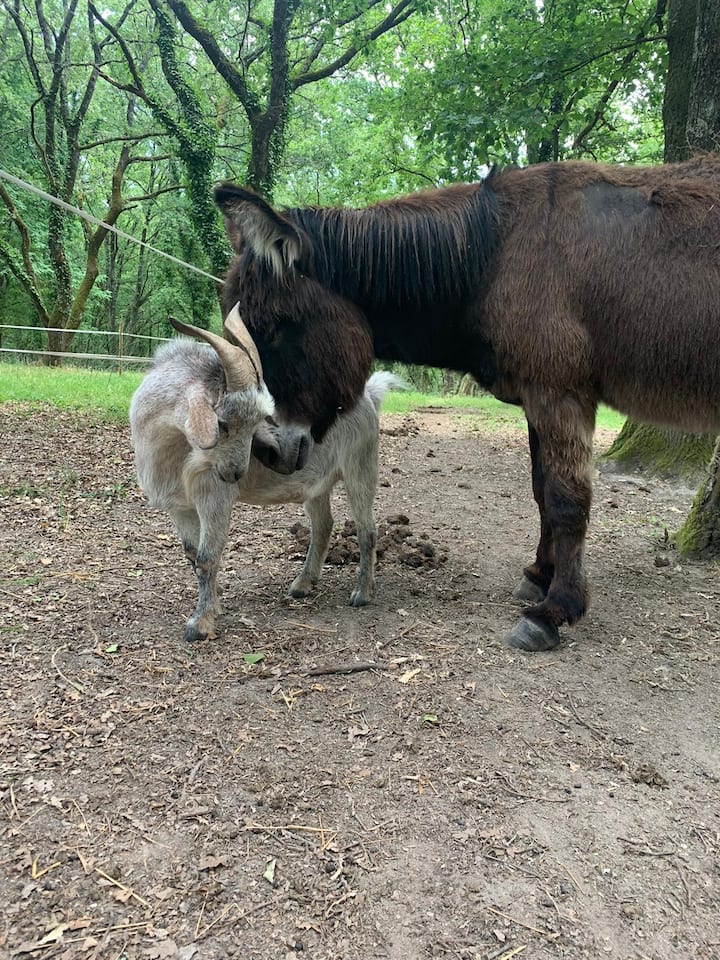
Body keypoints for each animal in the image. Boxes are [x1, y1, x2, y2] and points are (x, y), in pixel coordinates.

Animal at [130, 318, 401, 641]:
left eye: (257, 421)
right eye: (222, 423)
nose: (237, 473)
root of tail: (368, 394)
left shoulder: (214, 496)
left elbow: (207, 557)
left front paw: (200, 624)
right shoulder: (179, 507)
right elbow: (193, 555)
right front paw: (214, 604)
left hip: (360, 464)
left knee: (366, 529)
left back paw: (362, 593)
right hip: (318, 483)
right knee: (323, 525)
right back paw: (303, 584)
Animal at [213, 156, 720, 653]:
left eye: (274, 328)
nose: (268, 452)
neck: (492, 254)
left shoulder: (559, 391)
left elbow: (566, 499)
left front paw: (554, 611)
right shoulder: (536, 398)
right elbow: (541, 489)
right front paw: (540, 576)